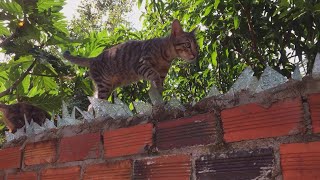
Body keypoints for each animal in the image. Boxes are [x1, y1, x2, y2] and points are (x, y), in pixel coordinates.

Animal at [62, 19, 198, 100]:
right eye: (187, 44)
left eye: (197, 46)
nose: (196, 54)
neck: (165, 56)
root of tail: (94, 58)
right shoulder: (141, 65)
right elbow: (153, 75)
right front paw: (157, 87)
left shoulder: (162, 73)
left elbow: (158, 84)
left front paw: (158, 94)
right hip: (104, 85)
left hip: (107, 86)